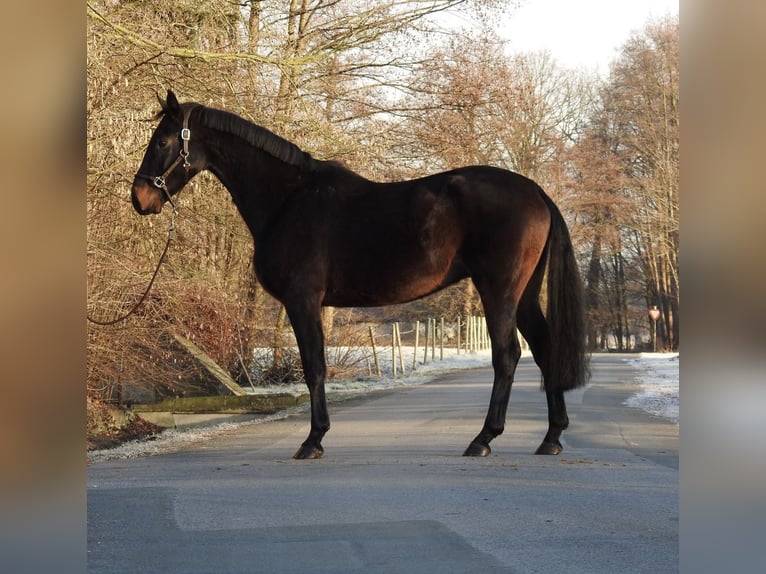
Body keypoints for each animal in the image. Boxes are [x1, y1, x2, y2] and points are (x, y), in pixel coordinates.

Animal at [132, 90, 592, 460]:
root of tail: (536, 191)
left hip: (499, 291)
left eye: (162, 140)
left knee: (508, 355)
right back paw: (551, 437)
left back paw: (484, 439)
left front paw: (313, 440)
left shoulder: (302, 300)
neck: (288, 200)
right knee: (544, 348)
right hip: (525, 294)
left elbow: (314, 366)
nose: (140, 197)